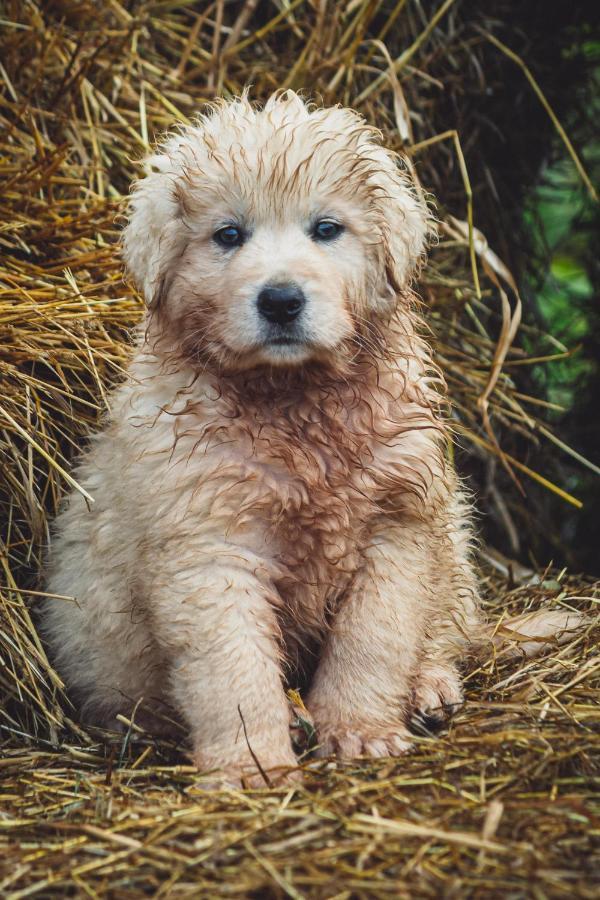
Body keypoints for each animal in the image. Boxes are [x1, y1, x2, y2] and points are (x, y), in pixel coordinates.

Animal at [42, 88, 480, 784]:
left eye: (326, 229)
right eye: (228, 236)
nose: (280, 300)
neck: (296, 409)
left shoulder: (400, 524)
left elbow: (373, 641)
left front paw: (360, 730)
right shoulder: (209, 545)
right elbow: (234, 670)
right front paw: (251, 766)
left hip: (452, 540)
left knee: (447, 623)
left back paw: (428, 686)